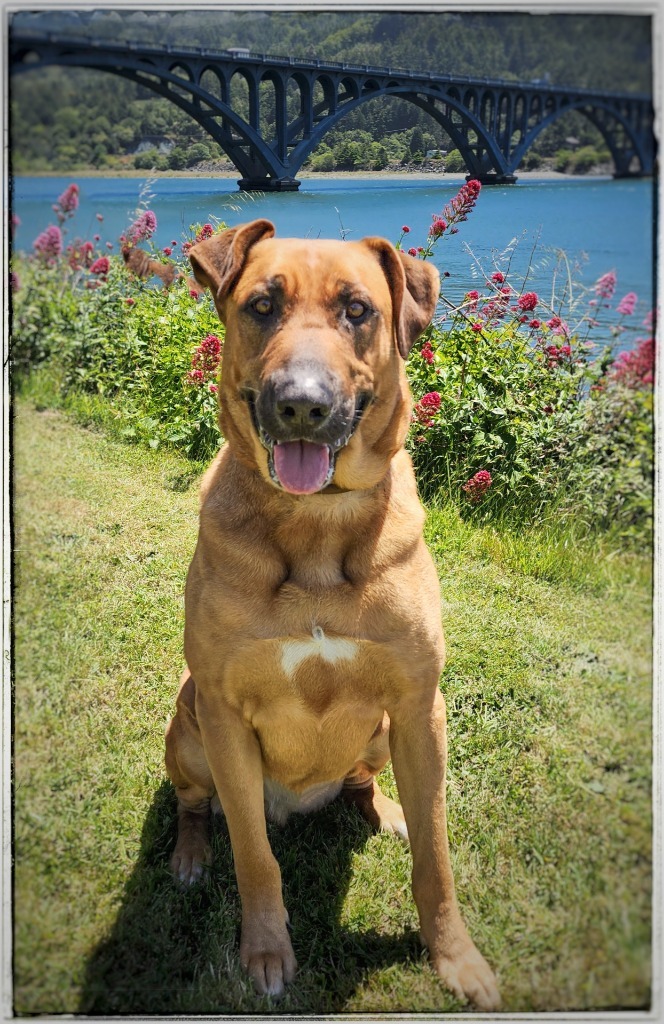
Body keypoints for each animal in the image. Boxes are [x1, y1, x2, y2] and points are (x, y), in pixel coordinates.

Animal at [162, 216, 500, 1007]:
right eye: (261, 306)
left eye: (357, 309)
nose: (301, 404)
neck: (316, 526)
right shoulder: (222, 710)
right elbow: (254, 858)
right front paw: (264, 952)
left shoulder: (419, 705)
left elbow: (437, 859)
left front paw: (455, 957)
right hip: (187, 725)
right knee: (195, 803)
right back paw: (190, 854)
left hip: (380, 733)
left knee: (362, 782)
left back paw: (385, 811)